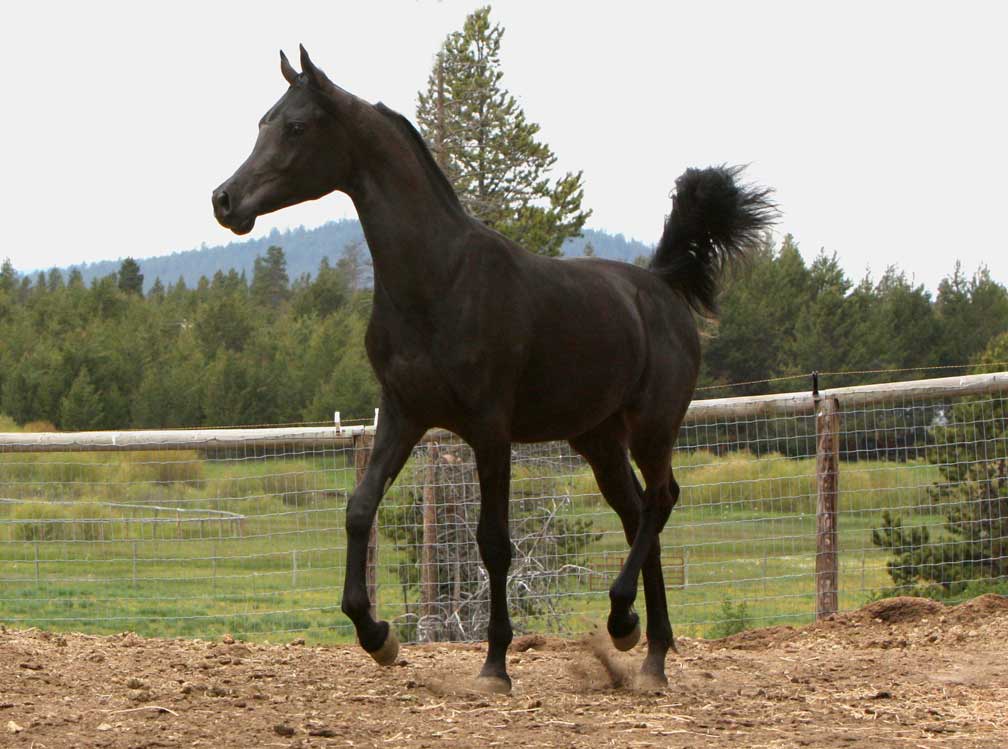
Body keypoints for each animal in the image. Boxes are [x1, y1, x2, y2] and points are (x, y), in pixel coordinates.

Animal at [213, 46, 775, 693]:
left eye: (297, 126)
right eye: (263, 122)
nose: (224, 201)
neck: (439, 279)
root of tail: (661, 286)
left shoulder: (489, 428)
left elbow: (494, 543)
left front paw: (495, 666)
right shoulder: (403, 415)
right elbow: (359, 510)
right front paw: (378, 637)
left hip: (653, 426)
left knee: (661, 501)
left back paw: (624, 624)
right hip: (599, 440)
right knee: (638, 516)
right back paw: (648, 651)